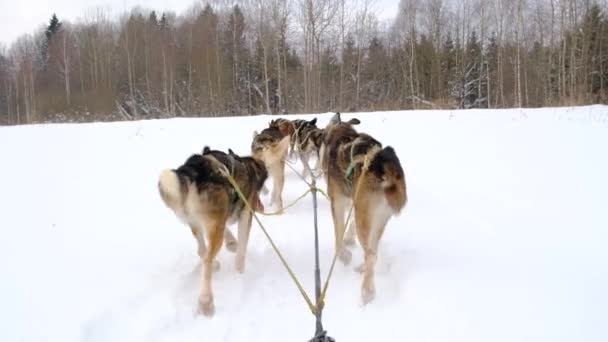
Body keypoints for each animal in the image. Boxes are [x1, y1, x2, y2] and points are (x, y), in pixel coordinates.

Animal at [158, 146, 268, 316]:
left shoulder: (218, 219)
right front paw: (240, 269)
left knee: (202, 250)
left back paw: (215, 263)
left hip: (196, 222)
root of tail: (193, 170)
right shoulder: (245, 214)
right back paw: (206, 301)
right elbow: (242, 246)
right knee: (207, 259)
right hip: (213, 226)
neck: (247, 167)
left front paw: (231, 243)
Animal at [318, 112, 408, 304]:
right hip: (377, 218)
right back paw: (362, 268)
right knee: (373, 251)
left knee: (371, 254)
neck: (341, 133)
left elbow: (338, 231)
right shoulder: (356, 202)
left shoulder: (337, 201)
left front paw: (343, 254)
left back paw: (367, 291)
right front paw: (348, 241)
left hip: (365, 221)